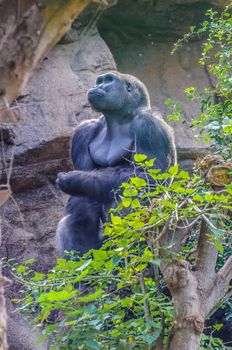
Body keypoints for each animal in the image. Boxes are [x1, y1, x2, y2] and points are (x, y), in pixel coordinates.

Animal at [55, 71, 176, 256]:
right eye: (100, 80)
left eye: (108, 80)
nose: (97, 85)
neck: (120, 118)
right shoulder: (83, 131)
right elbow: (84, 195)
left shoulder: (149, 125)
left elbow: (150, 178)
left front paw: (76, 179)